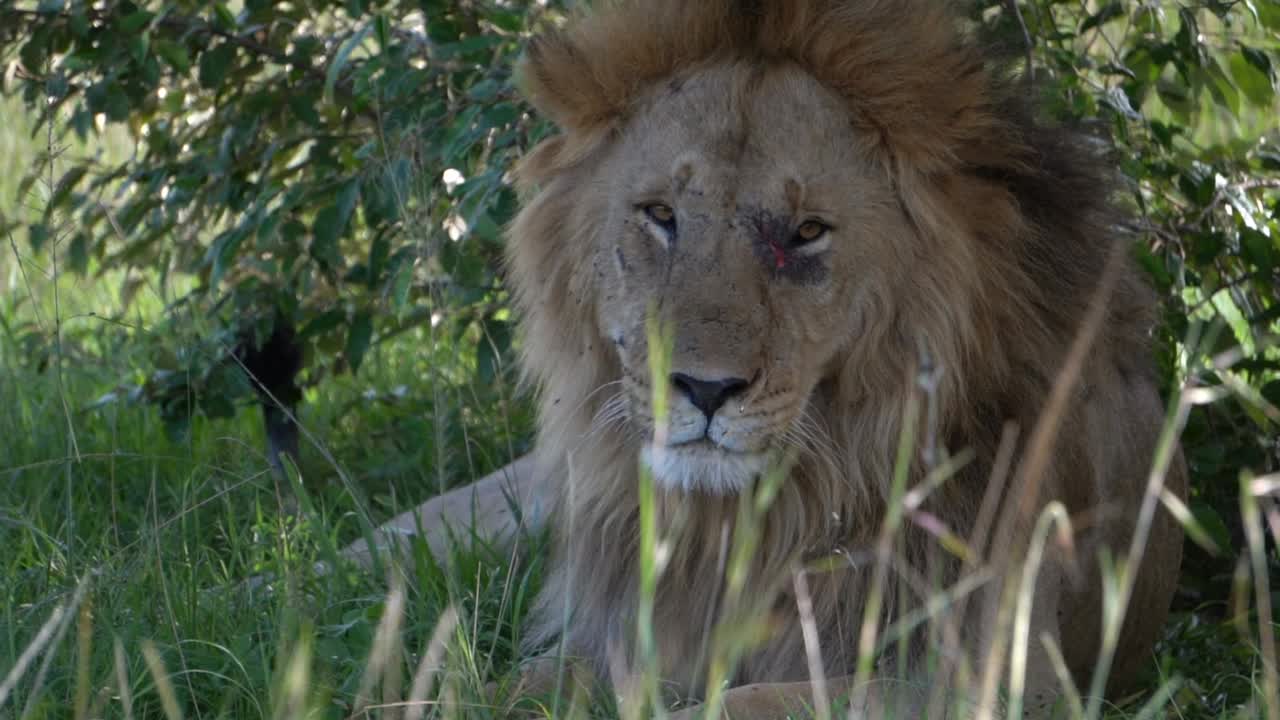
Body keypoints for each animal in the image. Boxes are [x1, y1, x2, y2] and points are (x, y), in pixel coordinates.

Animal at [343, 2, 1187, 712]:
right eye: (660, 215)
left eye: (806, 232)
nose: (701, 389)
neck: (755, 518)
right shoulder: (618, 639)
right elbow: (494, 687)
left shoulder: (1000, 680)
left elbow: (736, 704)